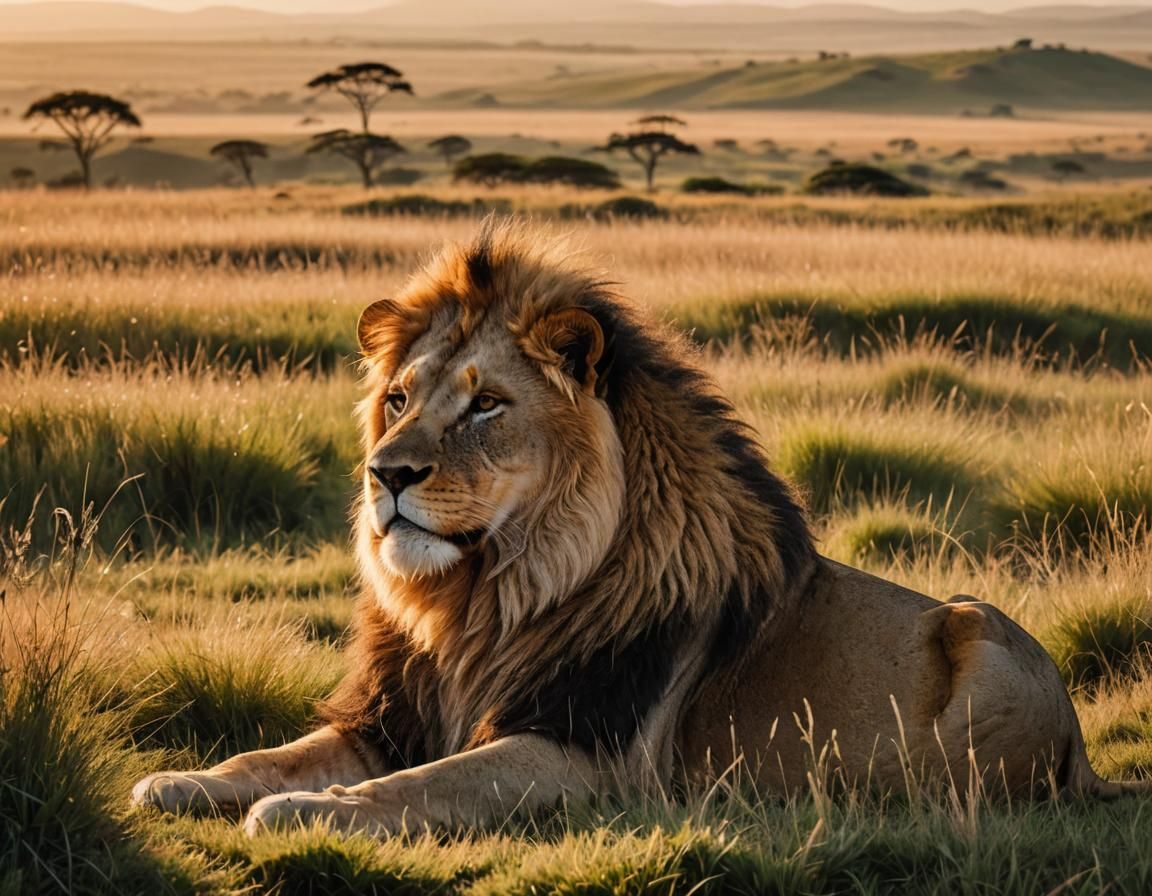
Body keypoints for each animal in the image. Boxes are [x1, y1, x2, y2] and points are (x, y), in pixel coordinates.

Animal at [133, 220, 1146, 837]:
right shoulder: (391, 716)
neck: (483, 602)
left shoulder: (594, 760)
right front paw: (181, 782)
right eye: (397, 401)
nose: (387, 475)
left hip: (979, 643)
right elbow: (274, 752)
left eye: (486, 406)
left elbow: (422, 786)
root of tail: (1082, 746)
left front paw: (305, 811)